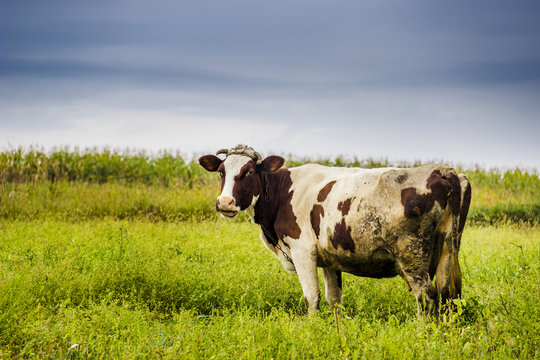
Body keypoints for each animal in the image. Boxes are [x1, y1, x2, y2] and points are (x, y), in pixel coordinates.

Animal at [199, 143, 472, 318]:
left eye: (248, 171)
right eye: (222, 172)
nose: (225, 202)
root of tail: (444, 170)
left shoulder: (302, 252)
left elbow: (312, 297)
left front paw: (312, 330)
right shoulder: (330, 258)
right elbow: (334, 300)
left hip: (412, 256)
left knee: (426, 296)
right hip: (448, 250)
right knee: (449, 295)